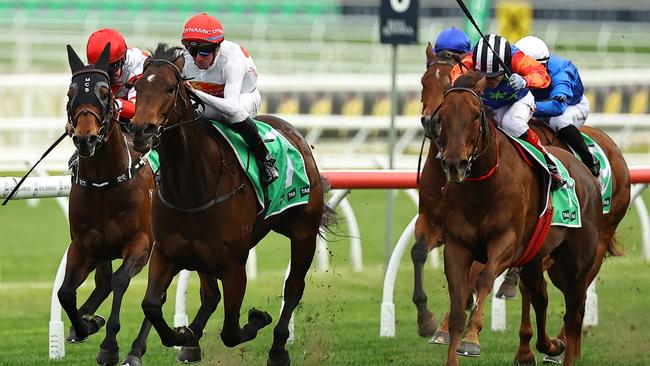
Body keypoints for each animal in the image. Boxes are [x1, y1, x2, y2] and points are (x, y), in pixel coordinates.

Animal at [58, 43, 154, 366]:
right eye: (71, 91)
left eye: (103, 92)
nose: (85, 139)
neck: (105, 183)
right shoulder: (83, 246)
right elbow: (65, 293)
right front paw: (86, 325)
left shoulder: (141, 243)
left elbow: (120, 282)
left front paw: (110, 345)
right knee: (101, 283)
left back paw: (136, 349)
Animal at [128, 43, 326, 366]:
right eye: (137, 87)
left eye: (170, 88)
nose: (140, 131)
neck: (192, 189)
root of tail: (293, 132)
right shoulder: (168, 253)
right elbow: (152, 306)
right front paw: (182, 335)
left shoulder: (234, 266)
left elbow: (231, 332)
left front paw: (257, 318)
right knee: (210, 295)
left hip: (304, 232)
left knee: (293, 287)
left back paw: (278, 349)